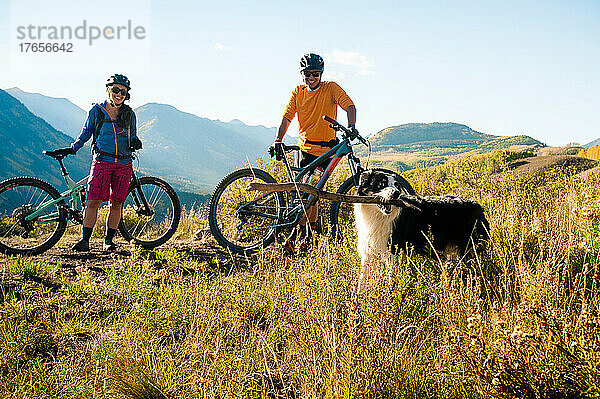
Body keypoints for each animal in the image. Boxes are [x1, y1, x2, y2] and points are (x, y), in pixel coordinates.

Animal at [354, 169, 490, 268]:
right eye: (381, 184)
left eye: (397, 185)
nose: (397, 193)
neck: (378, 215)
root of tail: (478, 206)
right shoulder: (367, 251)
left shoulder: (392, 252)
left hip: (468, 246)